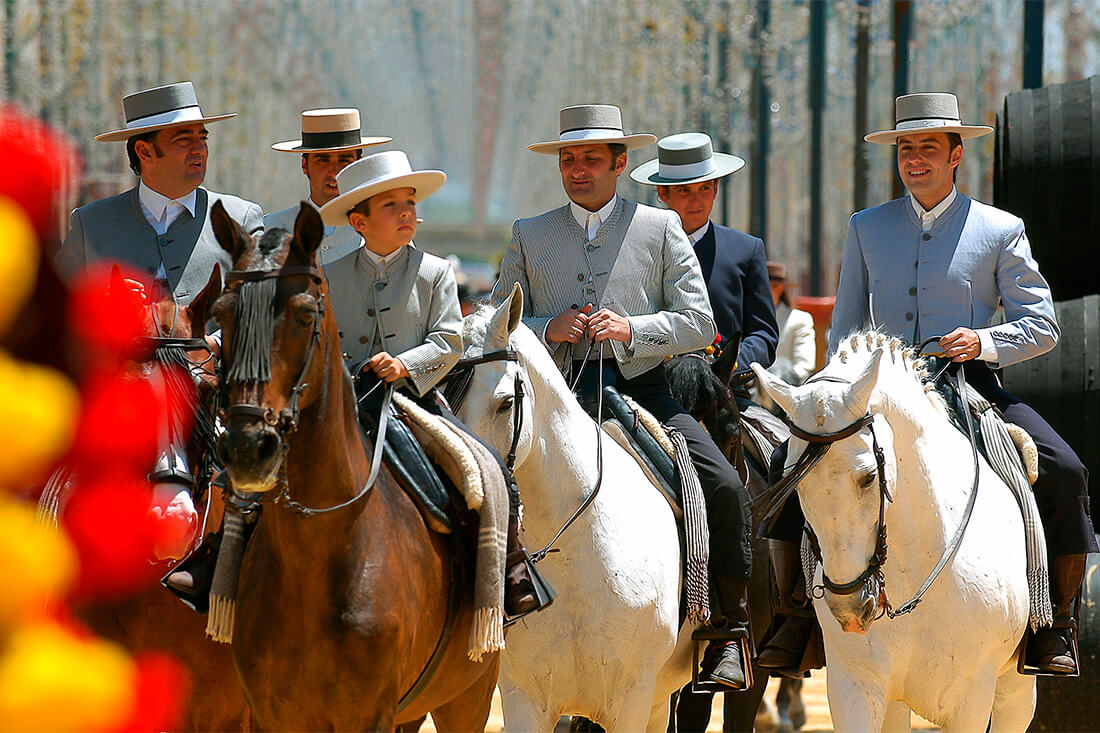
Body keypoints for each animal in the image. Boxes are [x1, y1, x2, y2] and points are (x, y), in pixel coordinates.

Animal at [206, 201, 499, 730]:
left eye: (305, 314)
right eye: (222, 314)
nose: (247, 446)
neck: (317, 551)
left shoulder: (371, 715)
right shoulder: (267, 714)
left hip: (469, 693)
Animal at [752, 332, 1034, 730]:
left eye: (869, 476)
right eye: (794, 482)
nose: (848, 607)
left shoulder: (973, 698)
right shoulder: (855, 686)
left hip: (1014, 691)